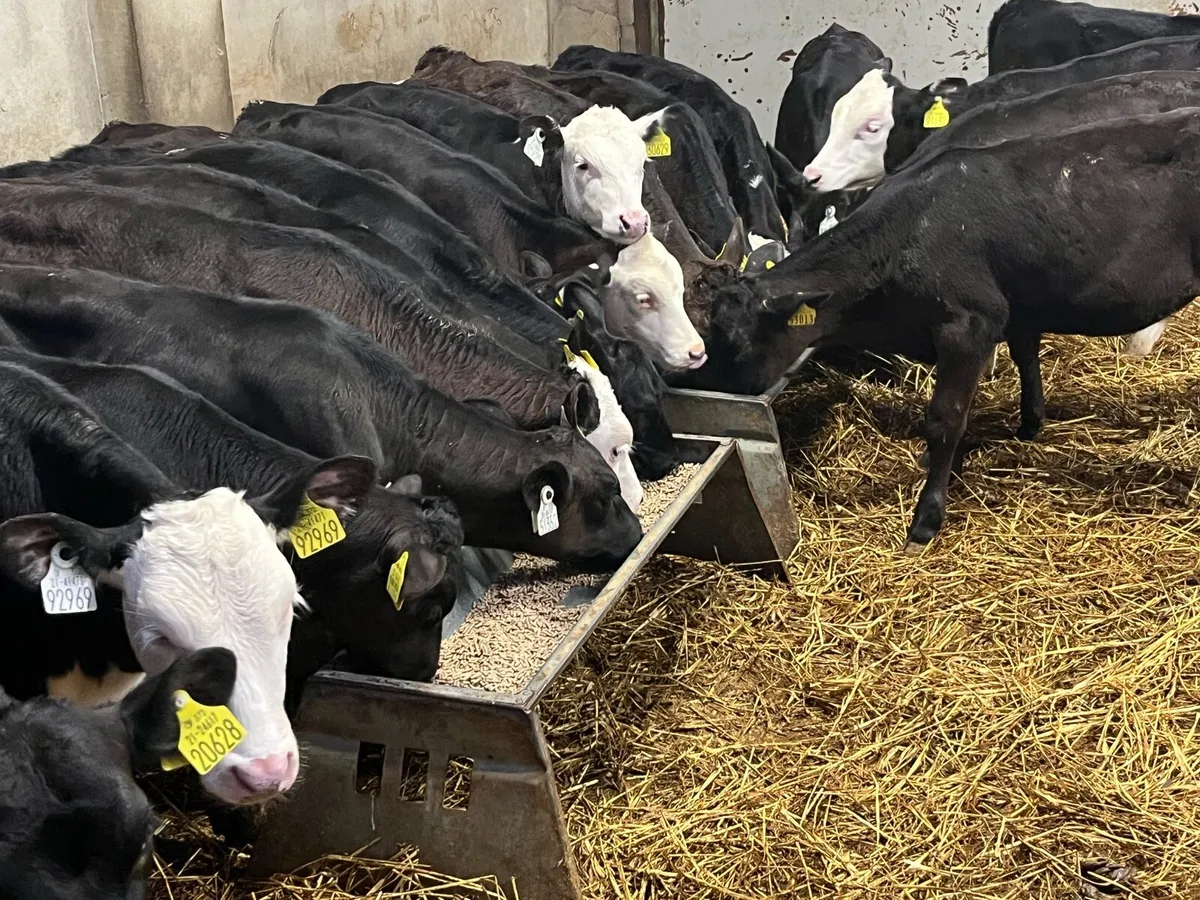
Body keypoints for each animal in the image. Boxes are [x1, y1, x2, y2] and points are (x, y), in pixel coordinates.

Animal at [750, 109, 1200, 546]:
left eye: (744, 336)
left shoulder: (967, 324)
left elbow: (945, 416)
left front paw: (926, 518)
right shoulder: (1013, 309)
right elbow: (1023, 361)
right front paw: (1028, 424)